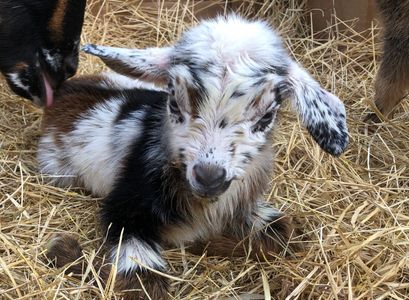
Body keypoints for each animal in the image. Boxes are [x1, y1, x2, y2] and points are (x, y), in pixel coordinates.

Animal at [40, 15, 348, 298]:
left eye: (267, 116)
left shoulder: (244, 206)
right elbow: (145, 283)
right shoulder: (124, 208)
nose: (209, 177)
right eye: (174, 103)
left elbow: (283, 232)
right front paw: (62, 250)